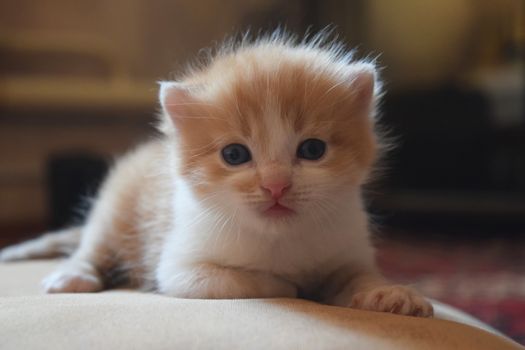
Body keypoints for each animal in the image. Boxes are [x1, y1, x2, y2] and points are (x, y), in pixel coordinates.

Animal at [2, 32, 432, 318]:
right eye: (234, 155)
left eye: (313, 150)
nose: (276, 185)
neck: (280, 239)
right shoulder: (180, 268)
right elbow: (242, 281)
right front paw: (291, 286)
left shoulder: (349, 248)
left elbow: (358, 276)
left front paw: (389, 294)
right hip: (114, 209)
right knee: (91, 248)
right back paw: (72, 276)